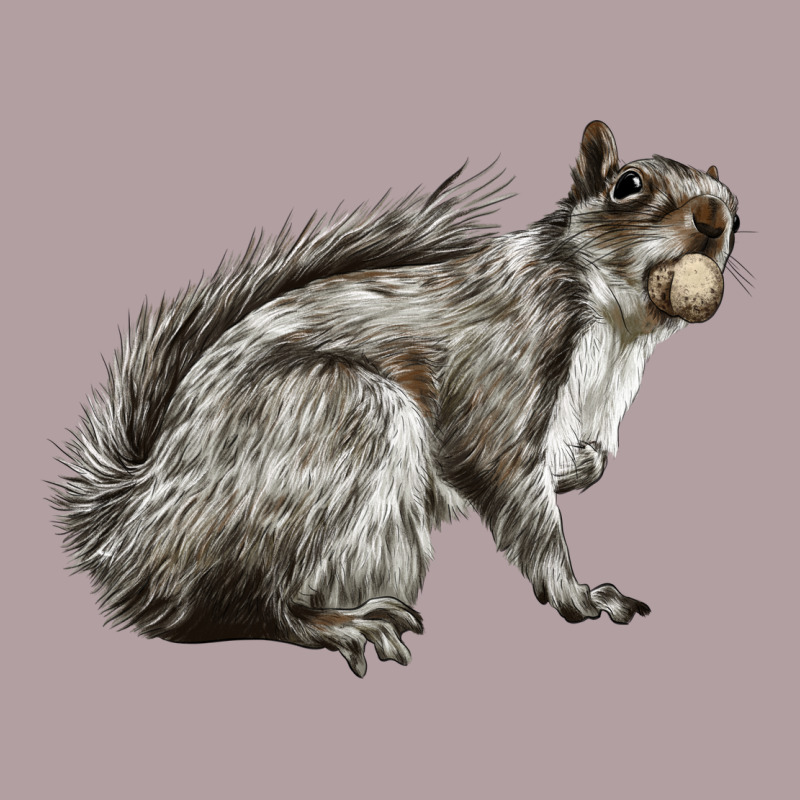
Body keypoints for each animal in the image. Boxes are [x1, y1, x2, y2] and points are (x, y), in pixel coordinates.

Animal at [52, 121, 740, 677]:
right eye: (628, 184)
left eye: (733, 197)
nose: (715, 216)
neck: (614, 322)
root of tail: (132, 526)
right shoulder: (504, 362)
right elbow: (502, 476)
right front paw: (577, 594)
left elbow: (578, 464)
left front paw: (577, 467)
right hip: (340, 414)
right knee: (232, 607)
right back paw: (341, 623)